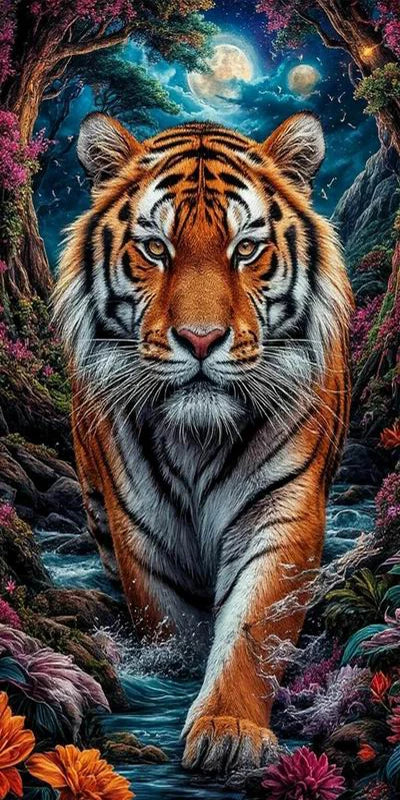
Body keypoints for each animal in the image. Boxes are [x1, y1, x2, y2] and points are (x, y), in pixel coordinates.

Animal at [54, 110, 353, 774]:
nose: (199, 339)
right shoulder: (142, 532)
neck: (198, 436)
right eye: (154, 248)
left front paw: (228, 730)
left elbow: (250, 628)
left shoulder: (281, 513)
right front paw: (180, 678)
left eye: (246, 249)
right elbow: (173, 626)